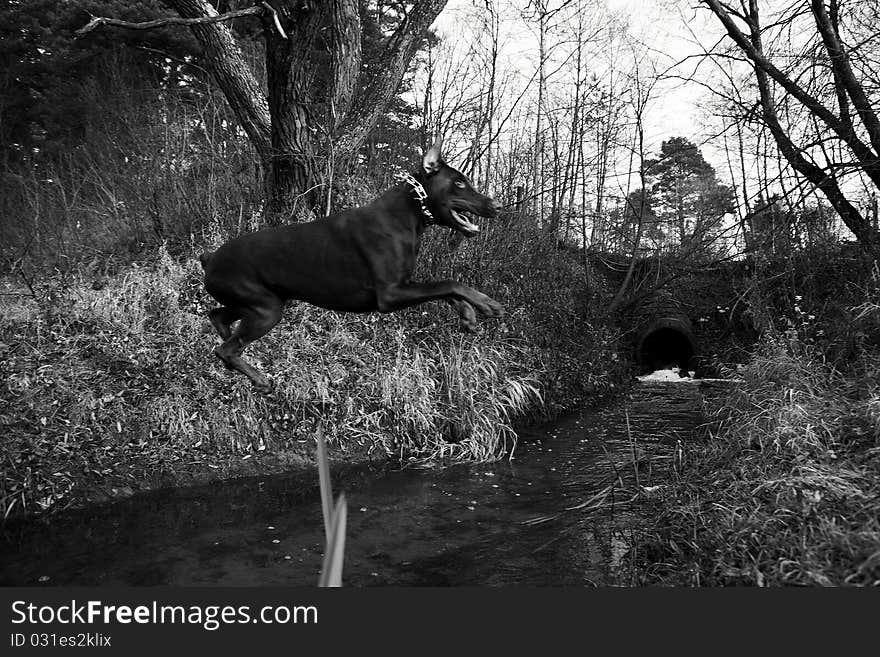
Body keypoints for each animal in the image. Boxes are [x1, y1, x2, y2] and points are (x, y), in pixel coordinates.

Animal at [199, 135, 502, 386]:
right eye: (459, 182)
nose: (497, 205)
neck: (409, 213)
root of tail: (209, 258)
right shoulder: (390, 294)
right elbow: (449, 283)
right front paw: (486, 303)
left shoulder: (405, 284)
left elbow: (444, 290)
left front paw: (468, 314)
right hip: (266, 309)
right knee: (225, 349)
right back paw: (259, 378)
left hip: (256, 303)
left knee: (218, 318)